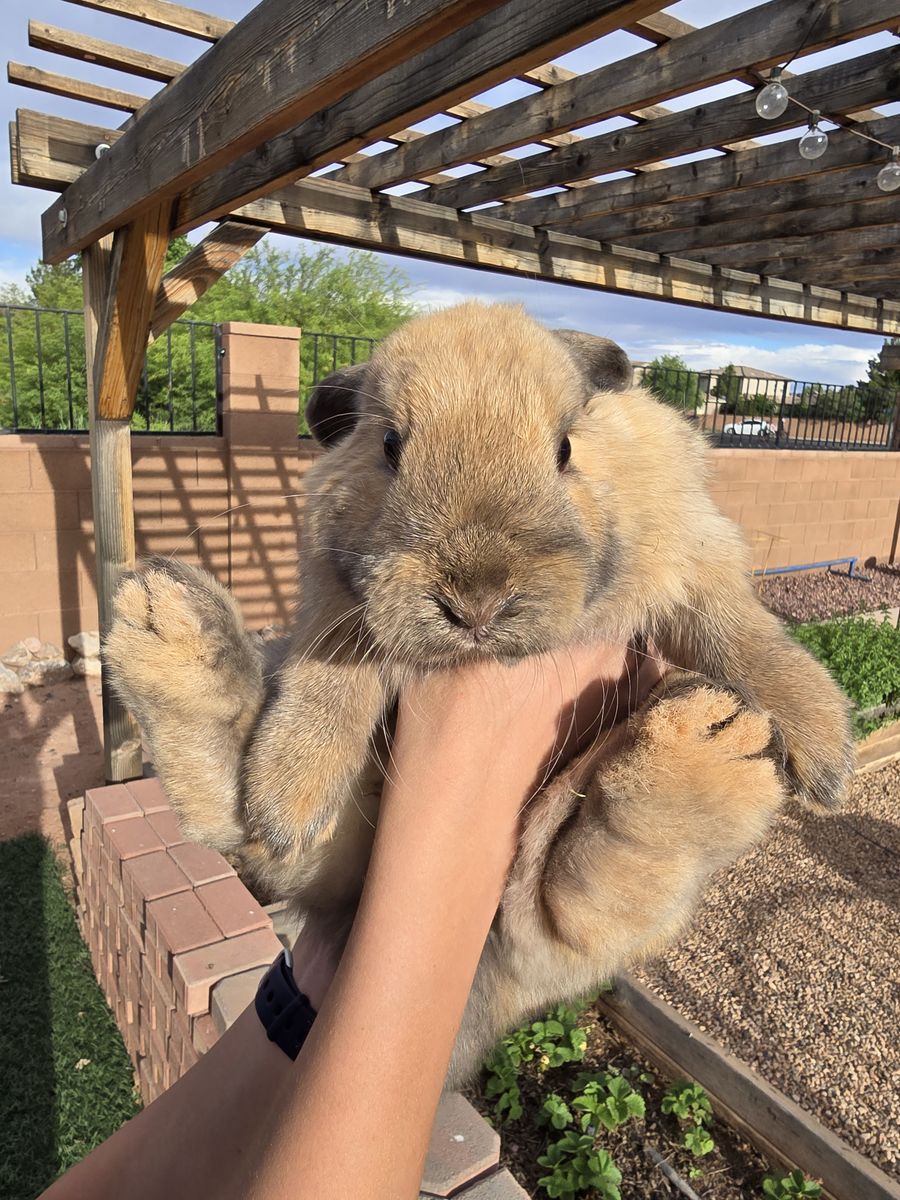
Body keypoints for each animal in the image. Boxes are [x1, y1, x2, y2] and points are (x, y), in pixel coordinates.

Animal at [105, 301, 853, 1085]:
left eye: (564, 448)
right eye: (390, 445)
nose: (476, 603)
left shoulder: (694, 556)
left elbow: (739, 630)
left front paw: (824, 755)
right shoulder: (335, 603)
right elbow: (329, 681)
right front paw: (289, 791)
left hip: (558, 896)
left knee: (574, 907)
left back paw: (708, 749)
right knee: (255, 835)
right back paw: (168, 624)